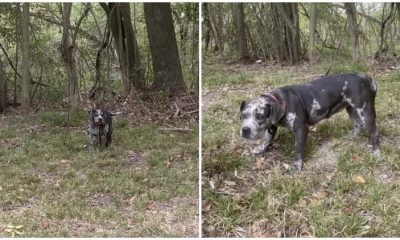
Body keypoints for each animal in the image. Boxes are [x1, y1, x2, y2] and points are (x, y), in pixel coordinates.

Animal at [239, 72, 380, 171]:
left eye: (259, 116)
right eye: (243, 116)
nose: (245, 130)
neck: (281, 101)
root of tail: (368, 78)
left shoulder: (301, 129)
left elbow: (298, 148)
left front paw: (297, 165)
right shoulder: (272, 125)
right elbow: (268, 139)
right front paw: (261, 148)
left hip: (365, 112)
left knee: (374, 132)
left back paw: (376, 151)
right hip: (350, 109)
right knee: (357, 124)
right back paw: (352, 137)